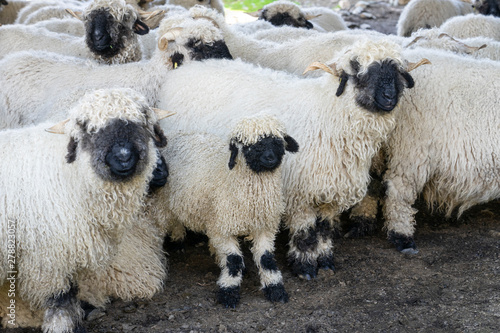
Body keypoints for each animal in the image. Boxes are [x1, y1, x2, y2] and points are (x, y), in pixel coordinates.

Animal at [0, 87, 172, 330]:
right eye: (90, 130)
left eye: (141, 123)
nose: (124, 157)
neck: (70, 175)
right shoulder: (48, 254)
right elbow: (60, 299)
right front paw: (61, 325)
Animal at [150, 114, 298, 306]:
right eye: (249, 145)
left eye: (278, 141)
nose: (270, 158)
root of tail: (175, 135)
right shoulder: (223, 229)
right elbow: (233, 260)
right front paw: (229, 292)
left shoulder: (264, 227)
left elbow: (266, 259)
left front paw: (275, 289)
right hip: (161, 203)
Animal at [156, 38, 430, 278]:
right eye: (357, 72)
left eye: (397, 72)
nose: (389, 97)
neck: (328, 116)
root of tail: (185, 71)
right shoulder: (300, 192)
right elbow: (306, 233)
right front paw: (305, 267)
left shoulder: (330, 191)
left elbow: (324, 230)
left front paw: (326, 263)